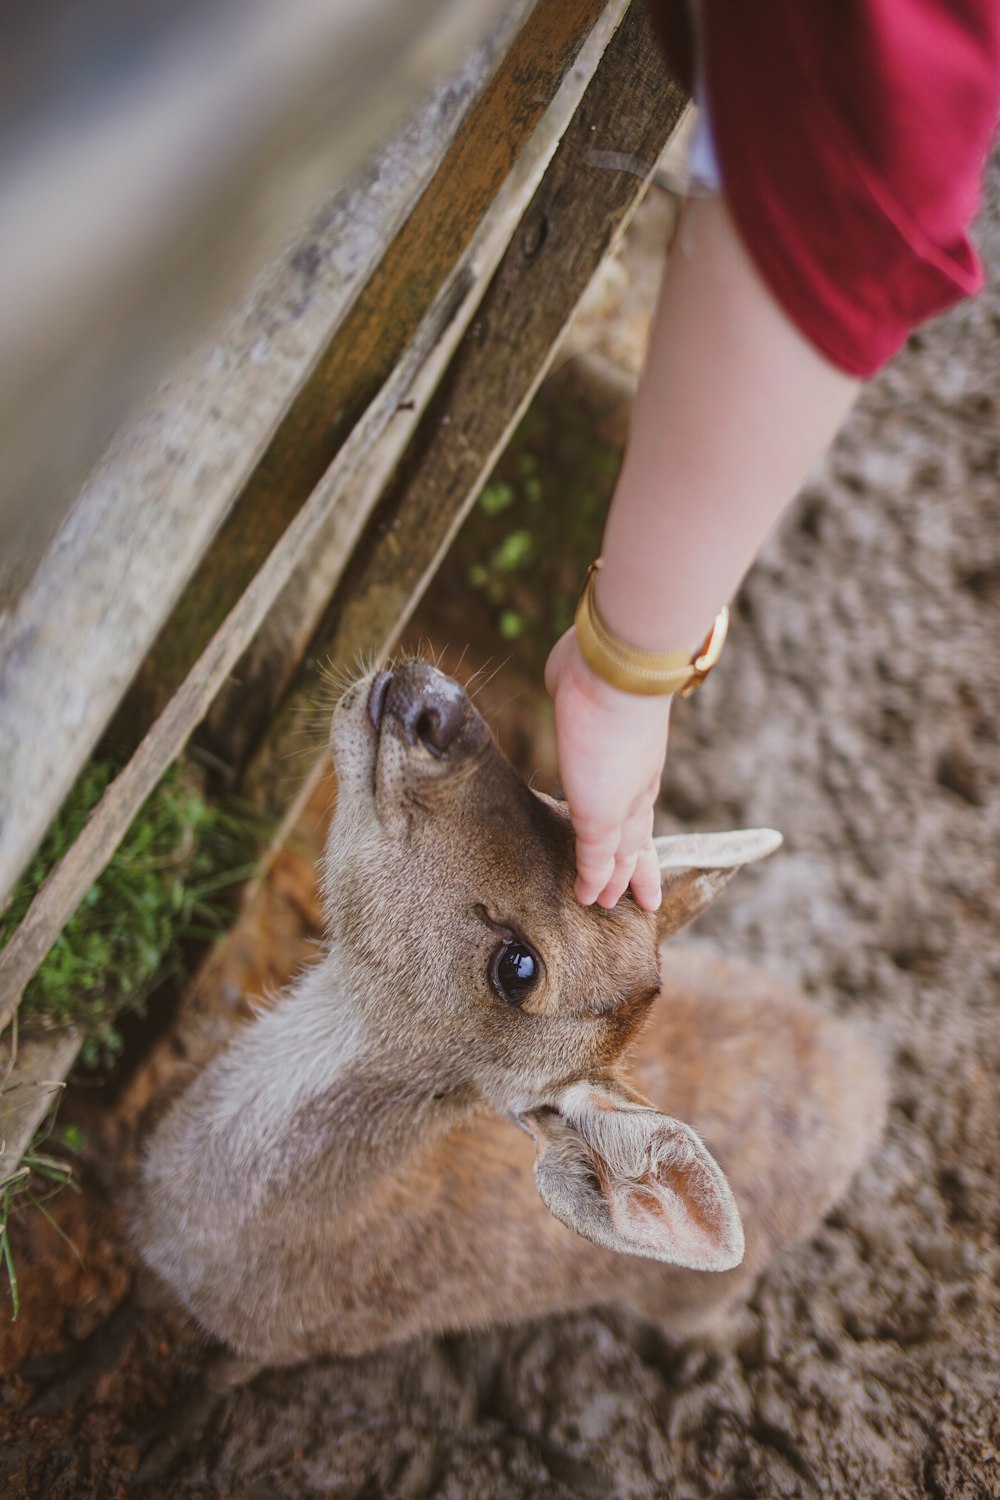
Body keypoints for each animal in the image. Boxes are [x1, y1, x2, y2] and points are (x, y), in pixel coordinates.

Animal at [131, 663, 881, 1374]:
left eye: (518, 966)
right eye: (561, 801)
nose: (440, 710)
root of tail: (866, 1075)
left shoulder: (277, 1348)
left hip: (699, 1292)